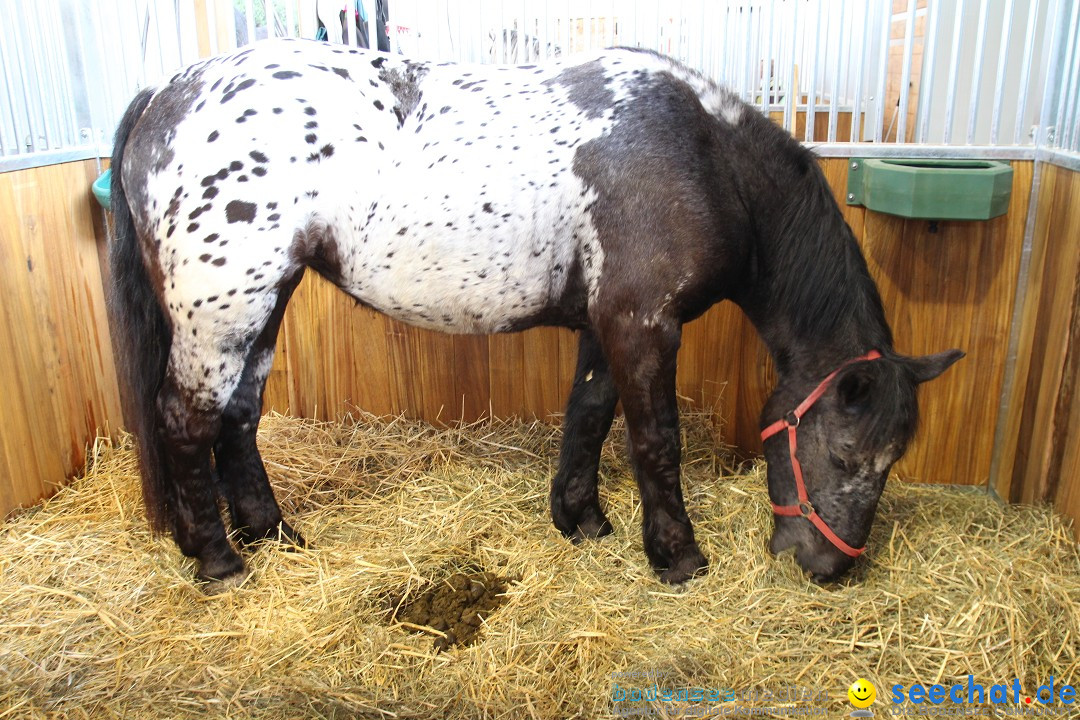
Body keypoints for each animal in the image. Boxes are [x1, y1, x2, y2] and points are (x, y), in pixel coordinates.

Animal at [109, 39, 967, 591]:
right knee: (186, 420)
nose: (829, 571)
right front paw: (678, 557)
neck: (698, 154)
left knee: (237, 419)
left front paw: (580, 520)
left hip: (262, 307)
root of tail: (166, 92)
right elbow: (654, 441)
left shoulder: (606, 326)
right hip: (225, 312)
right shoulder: (642, 325)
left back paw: (274, 535)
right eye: (850, 456)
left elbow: (588, 415)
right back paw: (220, 562)